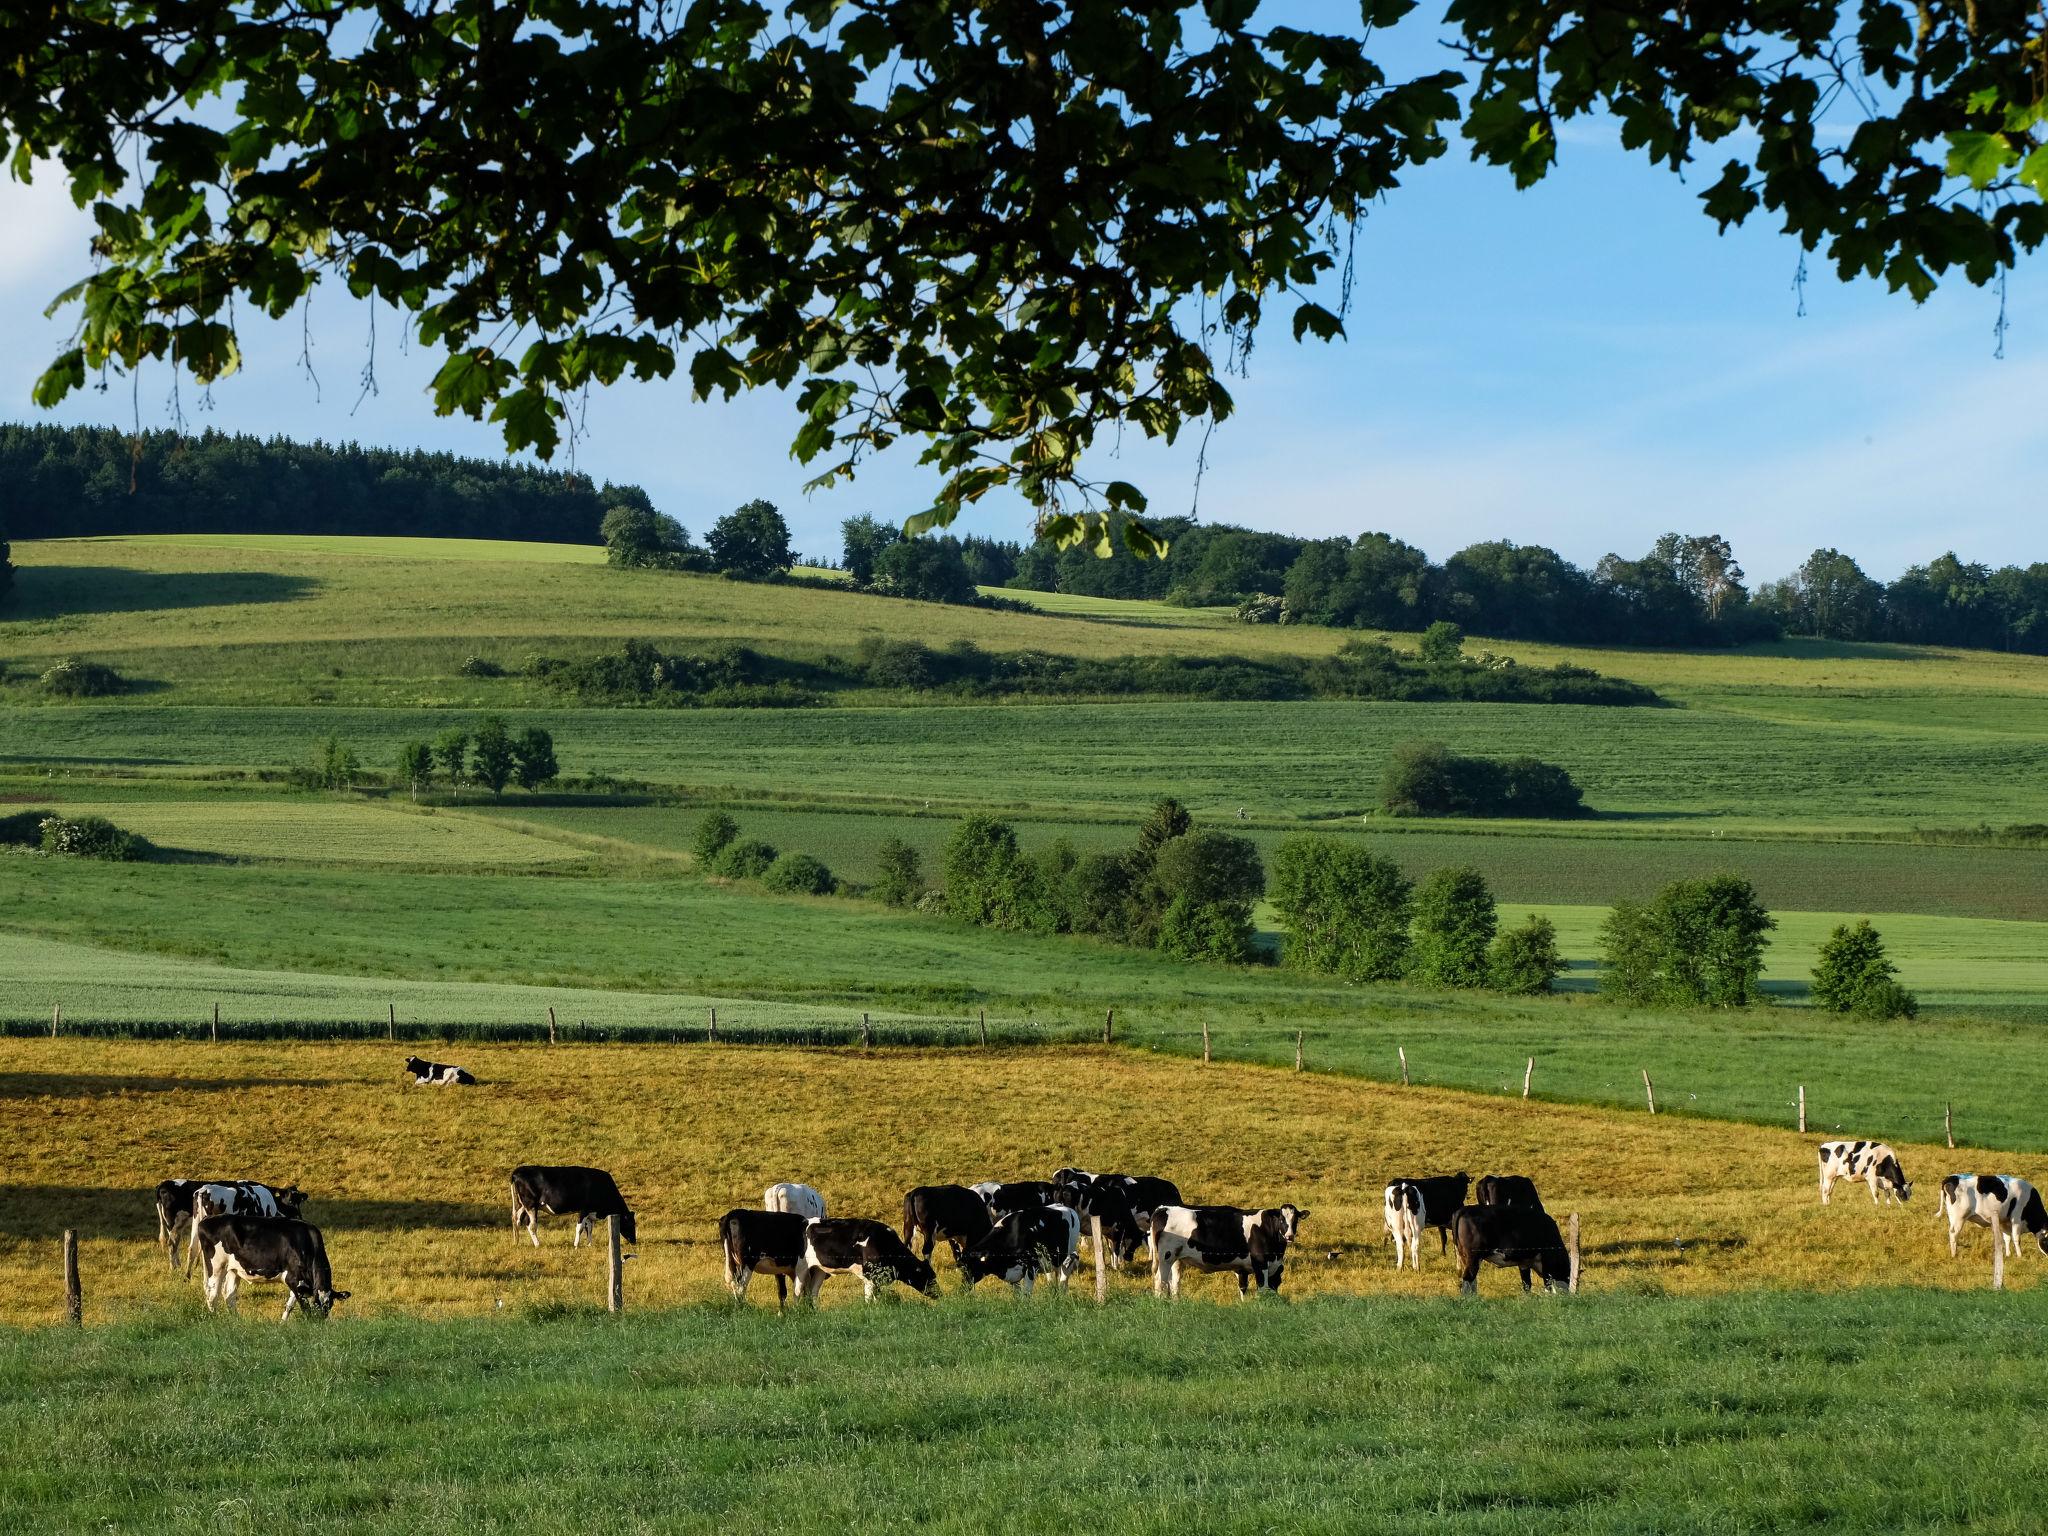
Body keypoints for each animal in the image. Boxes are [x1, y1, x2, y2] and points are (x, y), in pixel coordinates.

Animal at [192, 1212, 348, 1327]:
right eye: (316, 1303)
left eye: (329, 1305)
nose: (320, 1323)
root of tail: (207, 1219)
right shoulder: (293, 1279)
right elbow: (303, 1306)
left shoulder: (299, 1282)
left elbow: (289, 1305)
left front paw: (282, 1323)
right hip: (216, 1266)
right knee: (212, 1295)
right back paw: (215, 1319)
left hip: (233, 1269)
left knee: (229, 1295)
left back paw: (237, 1321)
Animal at [794, 1220, 937, 1302]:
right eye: (930, 1277)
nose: (939, 1294)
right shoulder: (870, 1276)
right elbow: (870, 1297)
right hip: (801, 1268)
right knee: (797, 1291)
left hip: (819, 1269)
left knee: (813, 1292)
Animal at [958, 1212, 1089, 1294]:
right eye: (962, 1267)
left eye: (972, 1267)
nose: (963, 1287)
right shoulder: (1012, 1273)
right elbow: (1017, 1293)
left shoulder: (1031, 1266)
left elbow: (1026, 1293)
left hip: (1067, 1251)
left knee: (1068, 1267)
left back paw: (1062, 1290)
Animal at [1146, 1204, 1302, 1302]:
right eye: (1281, 1219)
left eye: (1295, 1220)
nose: (1289, 1236)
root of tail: (1163, 1208)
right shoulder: (1261, 1263)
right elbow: (1262, 1287)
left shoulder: (1243, 1268)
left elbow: (1243, 1287)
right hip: (1165, 1257)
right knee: (1160, 1280)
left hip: (1176, 1259)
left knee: (1174, 1282)